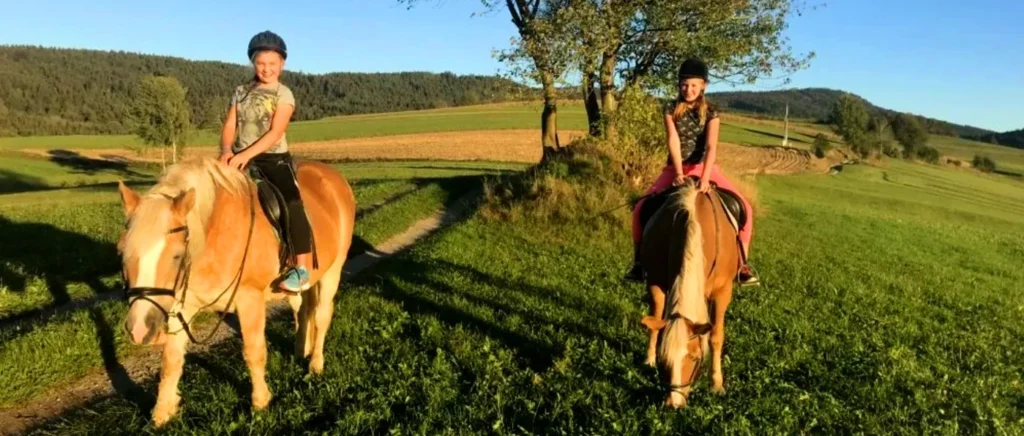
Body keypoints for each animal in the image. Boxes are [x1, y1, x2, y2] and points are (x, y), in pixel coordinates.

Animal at [114, 156, 356, 425]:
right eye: (121, 253)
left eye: (177, 256)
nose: (139, 329)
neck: (213, 237)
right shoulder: (182, 305)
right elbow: (171, 359)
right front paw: (163, 411)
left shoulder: (249, 299)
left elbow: (253, 351)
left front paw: (260, 402)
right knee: (302, 310)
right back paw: (300, 350)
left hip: (332, 271)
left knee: (322, 316)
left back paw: (315, 364)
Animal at [634, 178, 741, 409]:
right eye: (664, 359)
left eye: (693, 358)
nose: (673, 404)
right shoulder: (655, 283)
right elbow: (656, 320)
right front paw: (650, 359)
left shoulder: (722, 292)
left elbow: (716, 336)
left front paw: (716, 384)